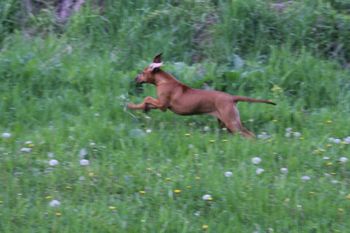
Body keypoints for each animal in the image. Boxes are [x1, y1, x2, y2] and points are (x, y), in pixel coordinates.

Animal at [127, 53, 274, 137]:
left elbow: (147, 98)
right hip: (228, 122)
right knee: (248, 134)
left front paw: (138, 106)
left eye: (143, 72)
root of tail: (232, 97)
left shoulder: (163, 105)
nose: (135, 78)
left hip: (231, 122)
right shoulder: (159, 104)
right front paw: (137, 107)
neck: (163, 81)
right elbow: (145, 103)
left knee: (249, 135)